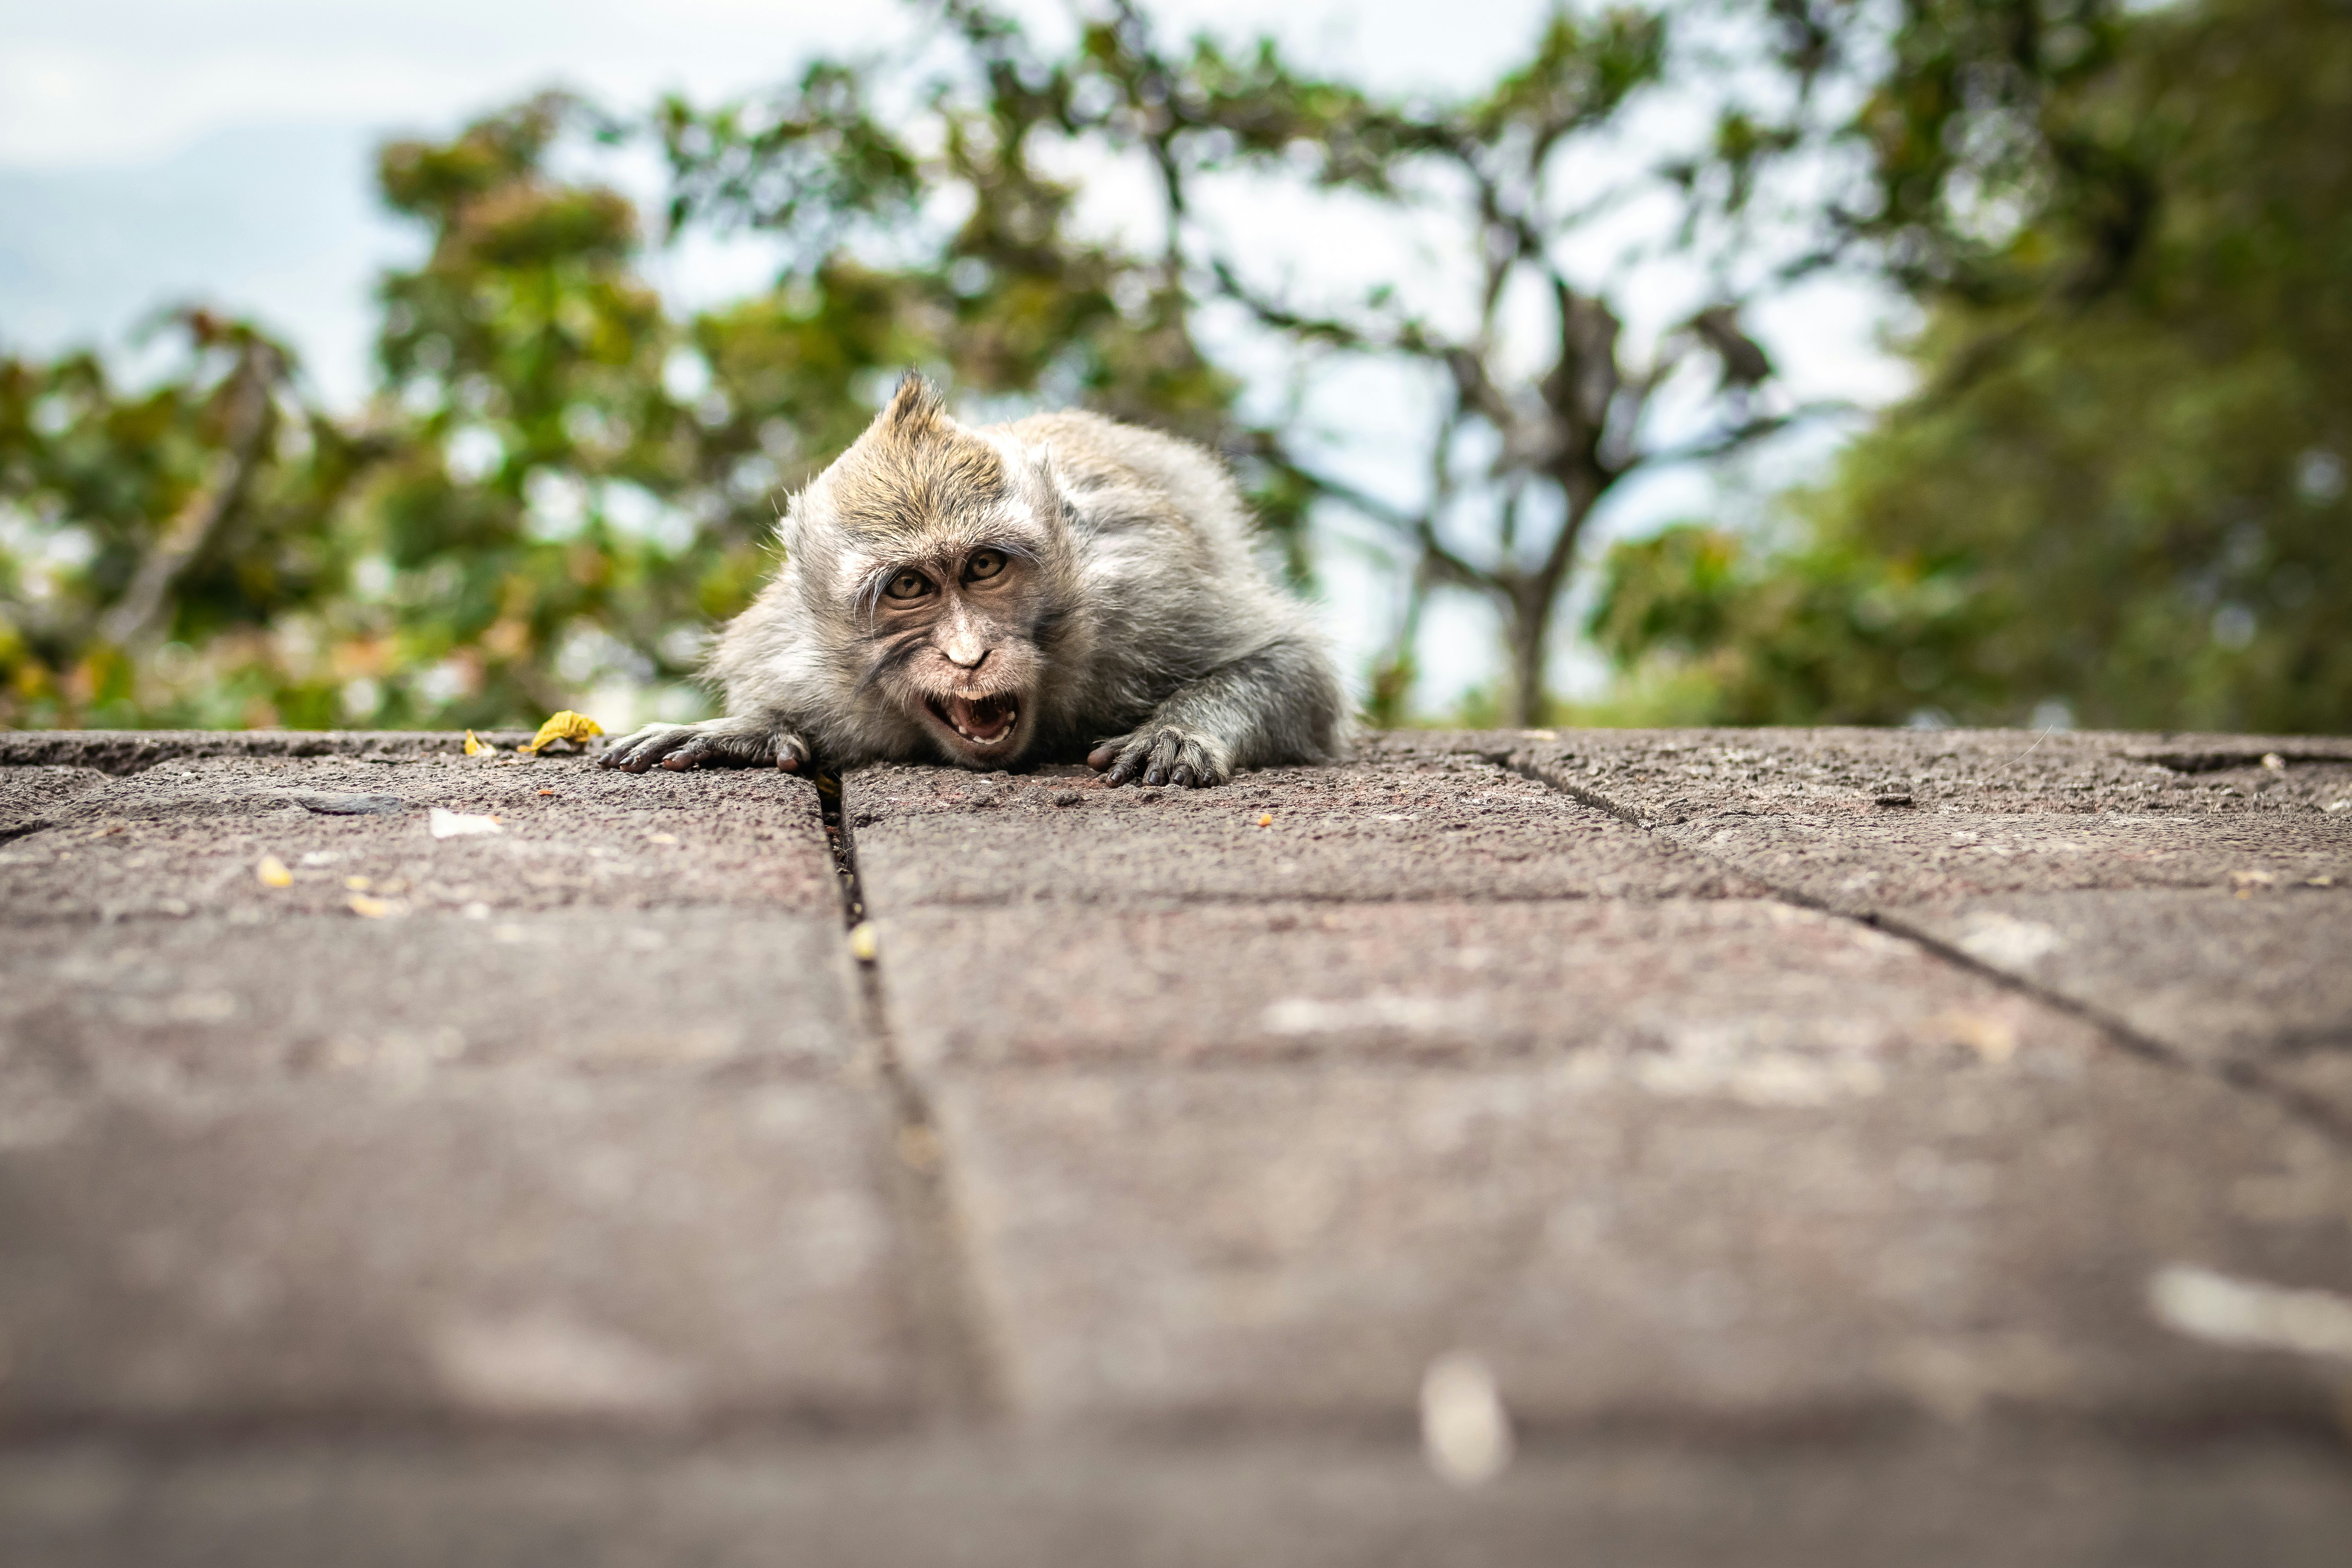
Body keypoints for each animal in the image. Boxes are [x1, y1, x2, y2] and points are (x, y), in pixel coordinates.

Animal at [597, 376, 1355, 789]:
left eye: (984, 567)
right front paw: (744, 733)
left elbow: (1295, 668)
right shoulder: (799, 662)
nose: (970, 656)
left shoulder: (1146, 600)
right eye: (909, 587)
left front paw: (1177, 733)